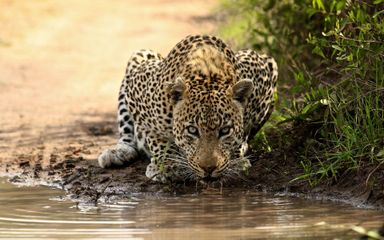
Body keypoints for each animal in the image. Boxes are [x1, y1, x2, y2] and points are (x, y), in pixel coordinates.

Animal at [97, 34, 278, 183]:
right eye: (192, 130)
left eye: (225, 130)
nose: (209, 169)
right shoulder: (136, 87)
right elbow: (155, 137)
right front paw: (167, 165)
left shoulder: (261, 66)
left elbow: (244, 132)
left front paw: (236, 158)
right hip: (140, 56)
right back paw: (118, 152)